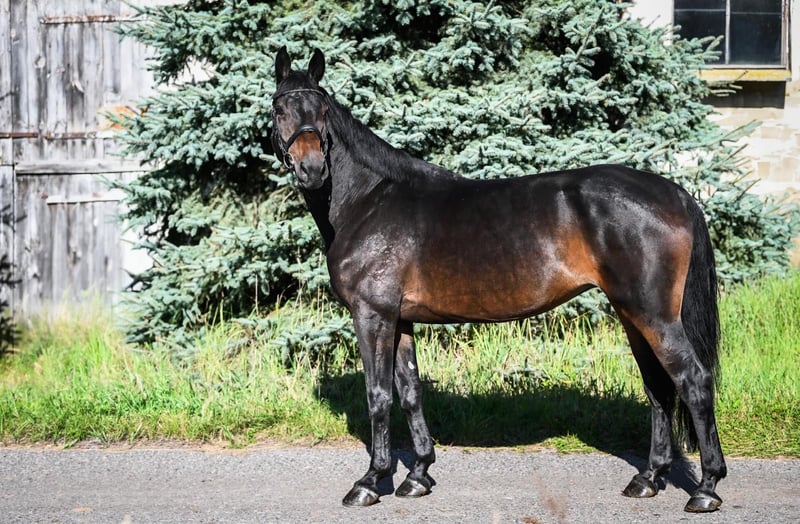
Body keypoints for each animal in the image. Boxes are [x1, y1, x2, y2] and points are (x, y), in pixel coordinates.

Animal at [270, 47, 726, 513]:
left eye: (323, 111)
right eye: (280, 109)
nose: (311, 168)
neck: (369, 200)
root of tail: (676, 194)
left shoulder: (372, 316)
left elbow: (378, 396)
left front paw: (369, 481)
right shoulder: (399, 320)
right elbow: (410, 391)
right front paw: (418, 475)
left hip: (654, 316)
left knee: (693, 380)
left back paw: (707, 487)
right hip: (633, 315)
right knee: (658, 388)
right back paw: (648, 478)